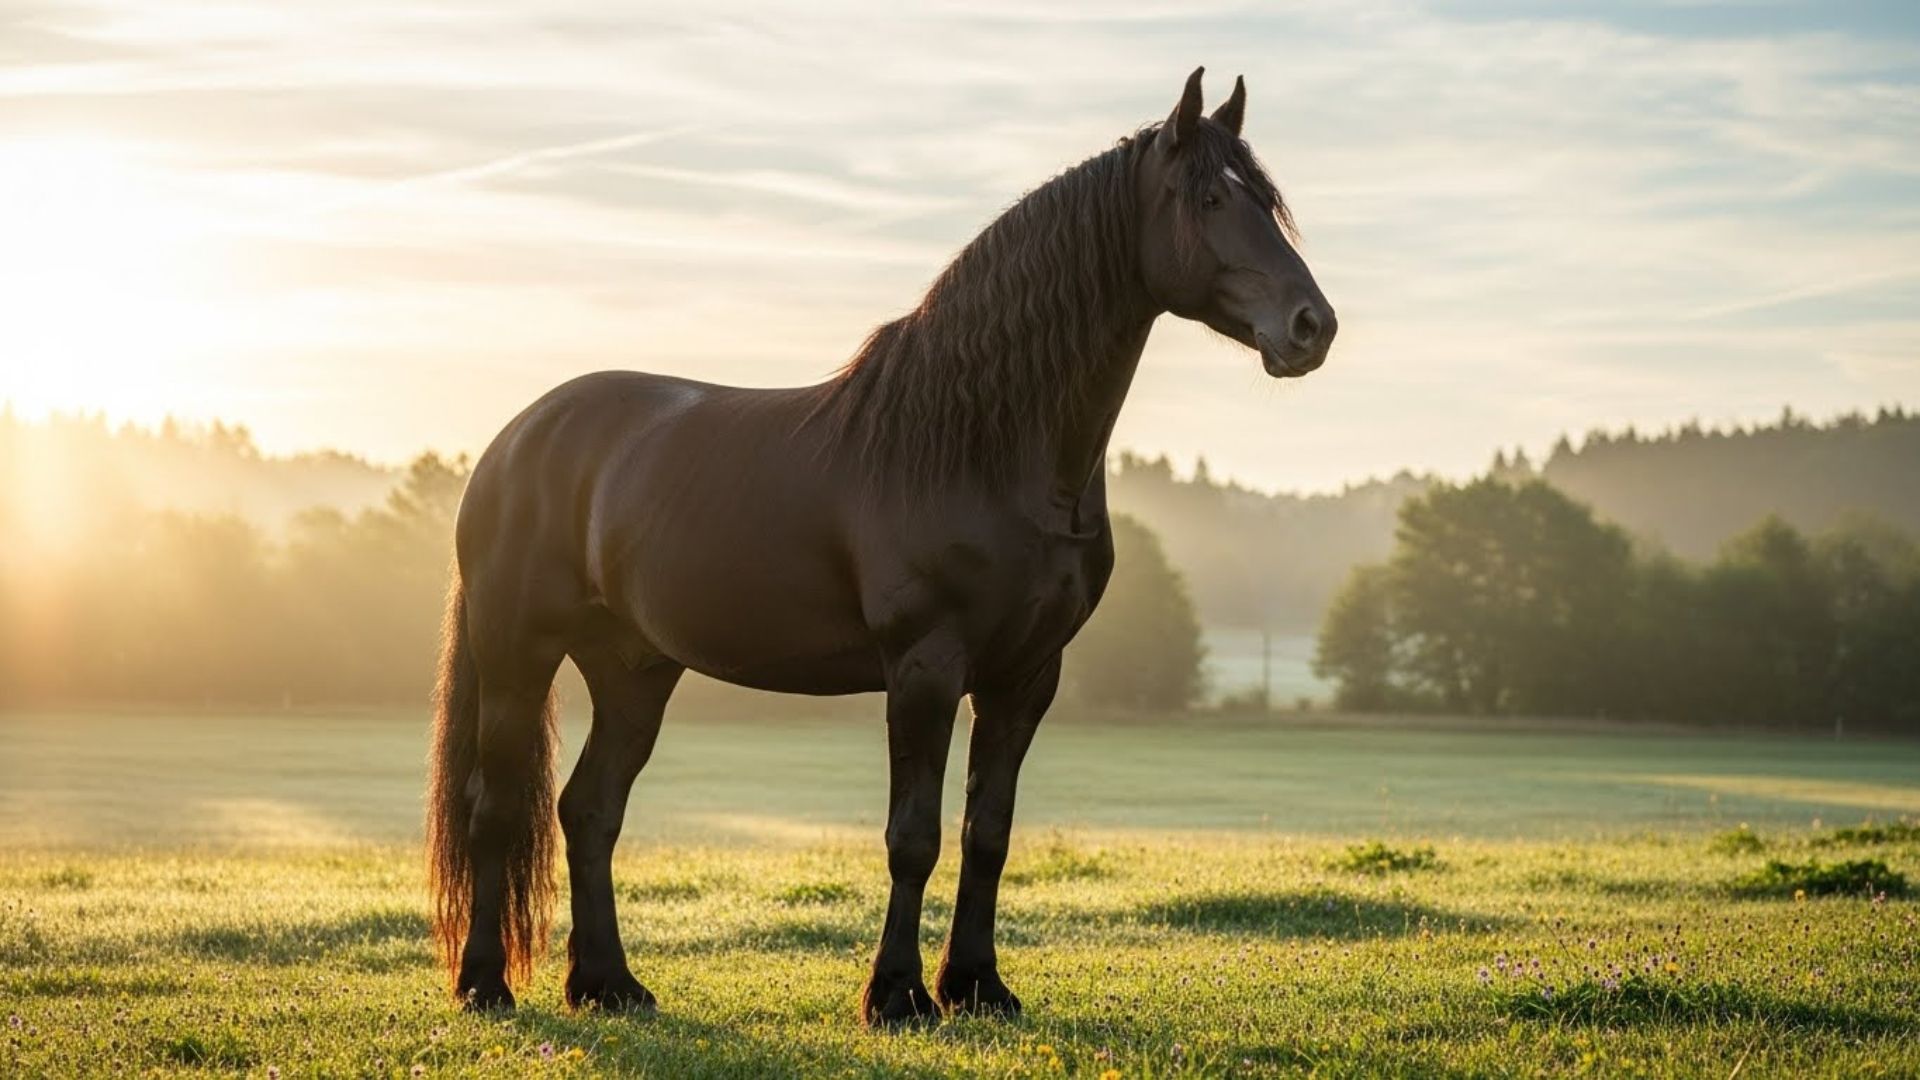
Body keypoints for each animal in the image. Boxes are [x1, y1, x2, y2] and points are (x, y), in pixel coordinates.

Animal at [426, 66, 1336, 1026]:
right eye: (1208, 198)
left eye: (1267, 201)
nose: (1311, 326)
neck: (983, 446)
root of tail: (516, 439)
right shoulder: (925, 667)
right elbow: (914, 836)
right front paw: (897, 994)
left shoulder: (1024, 677)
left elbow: (987, 834)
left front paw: (977, 986)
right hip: (519, 652)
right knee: (496, 807)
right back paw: (486, 984)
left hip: (633, 668)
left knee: (589, 809)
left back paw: (609, 985)